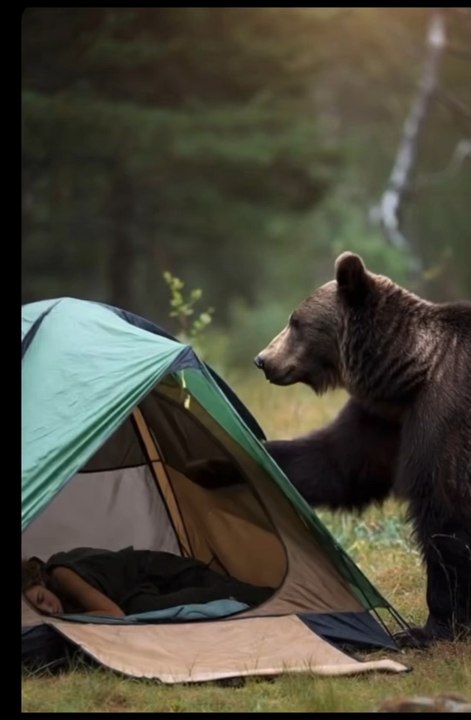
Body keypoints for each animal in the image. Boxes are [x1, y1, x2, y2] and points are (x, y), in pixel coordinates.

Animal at [254, 251, 471, 646]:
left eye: (296, 321)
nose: (262, 359)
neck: (408, 375)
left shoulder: (444, 417)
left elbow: (444, 516)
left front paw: (430, 627)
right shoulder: (385, 420)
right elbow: (340, 464)